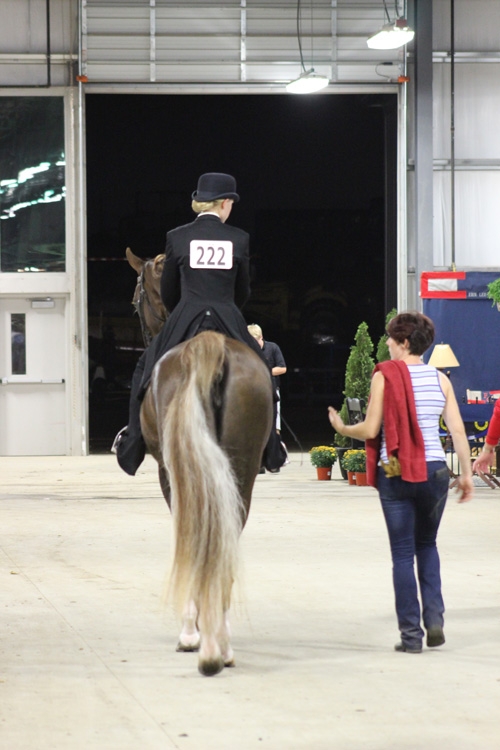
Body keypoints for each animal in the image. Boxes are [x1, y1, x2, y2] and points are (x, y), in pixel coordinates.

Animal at [125, 250, 274, 680]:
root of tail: (209, 346)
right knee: (227, 527)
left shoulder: (166, 471)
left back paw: (202, 640)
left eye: (135, 299)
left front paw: (190, 630)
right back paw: (220, 642)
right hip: (240, 467)